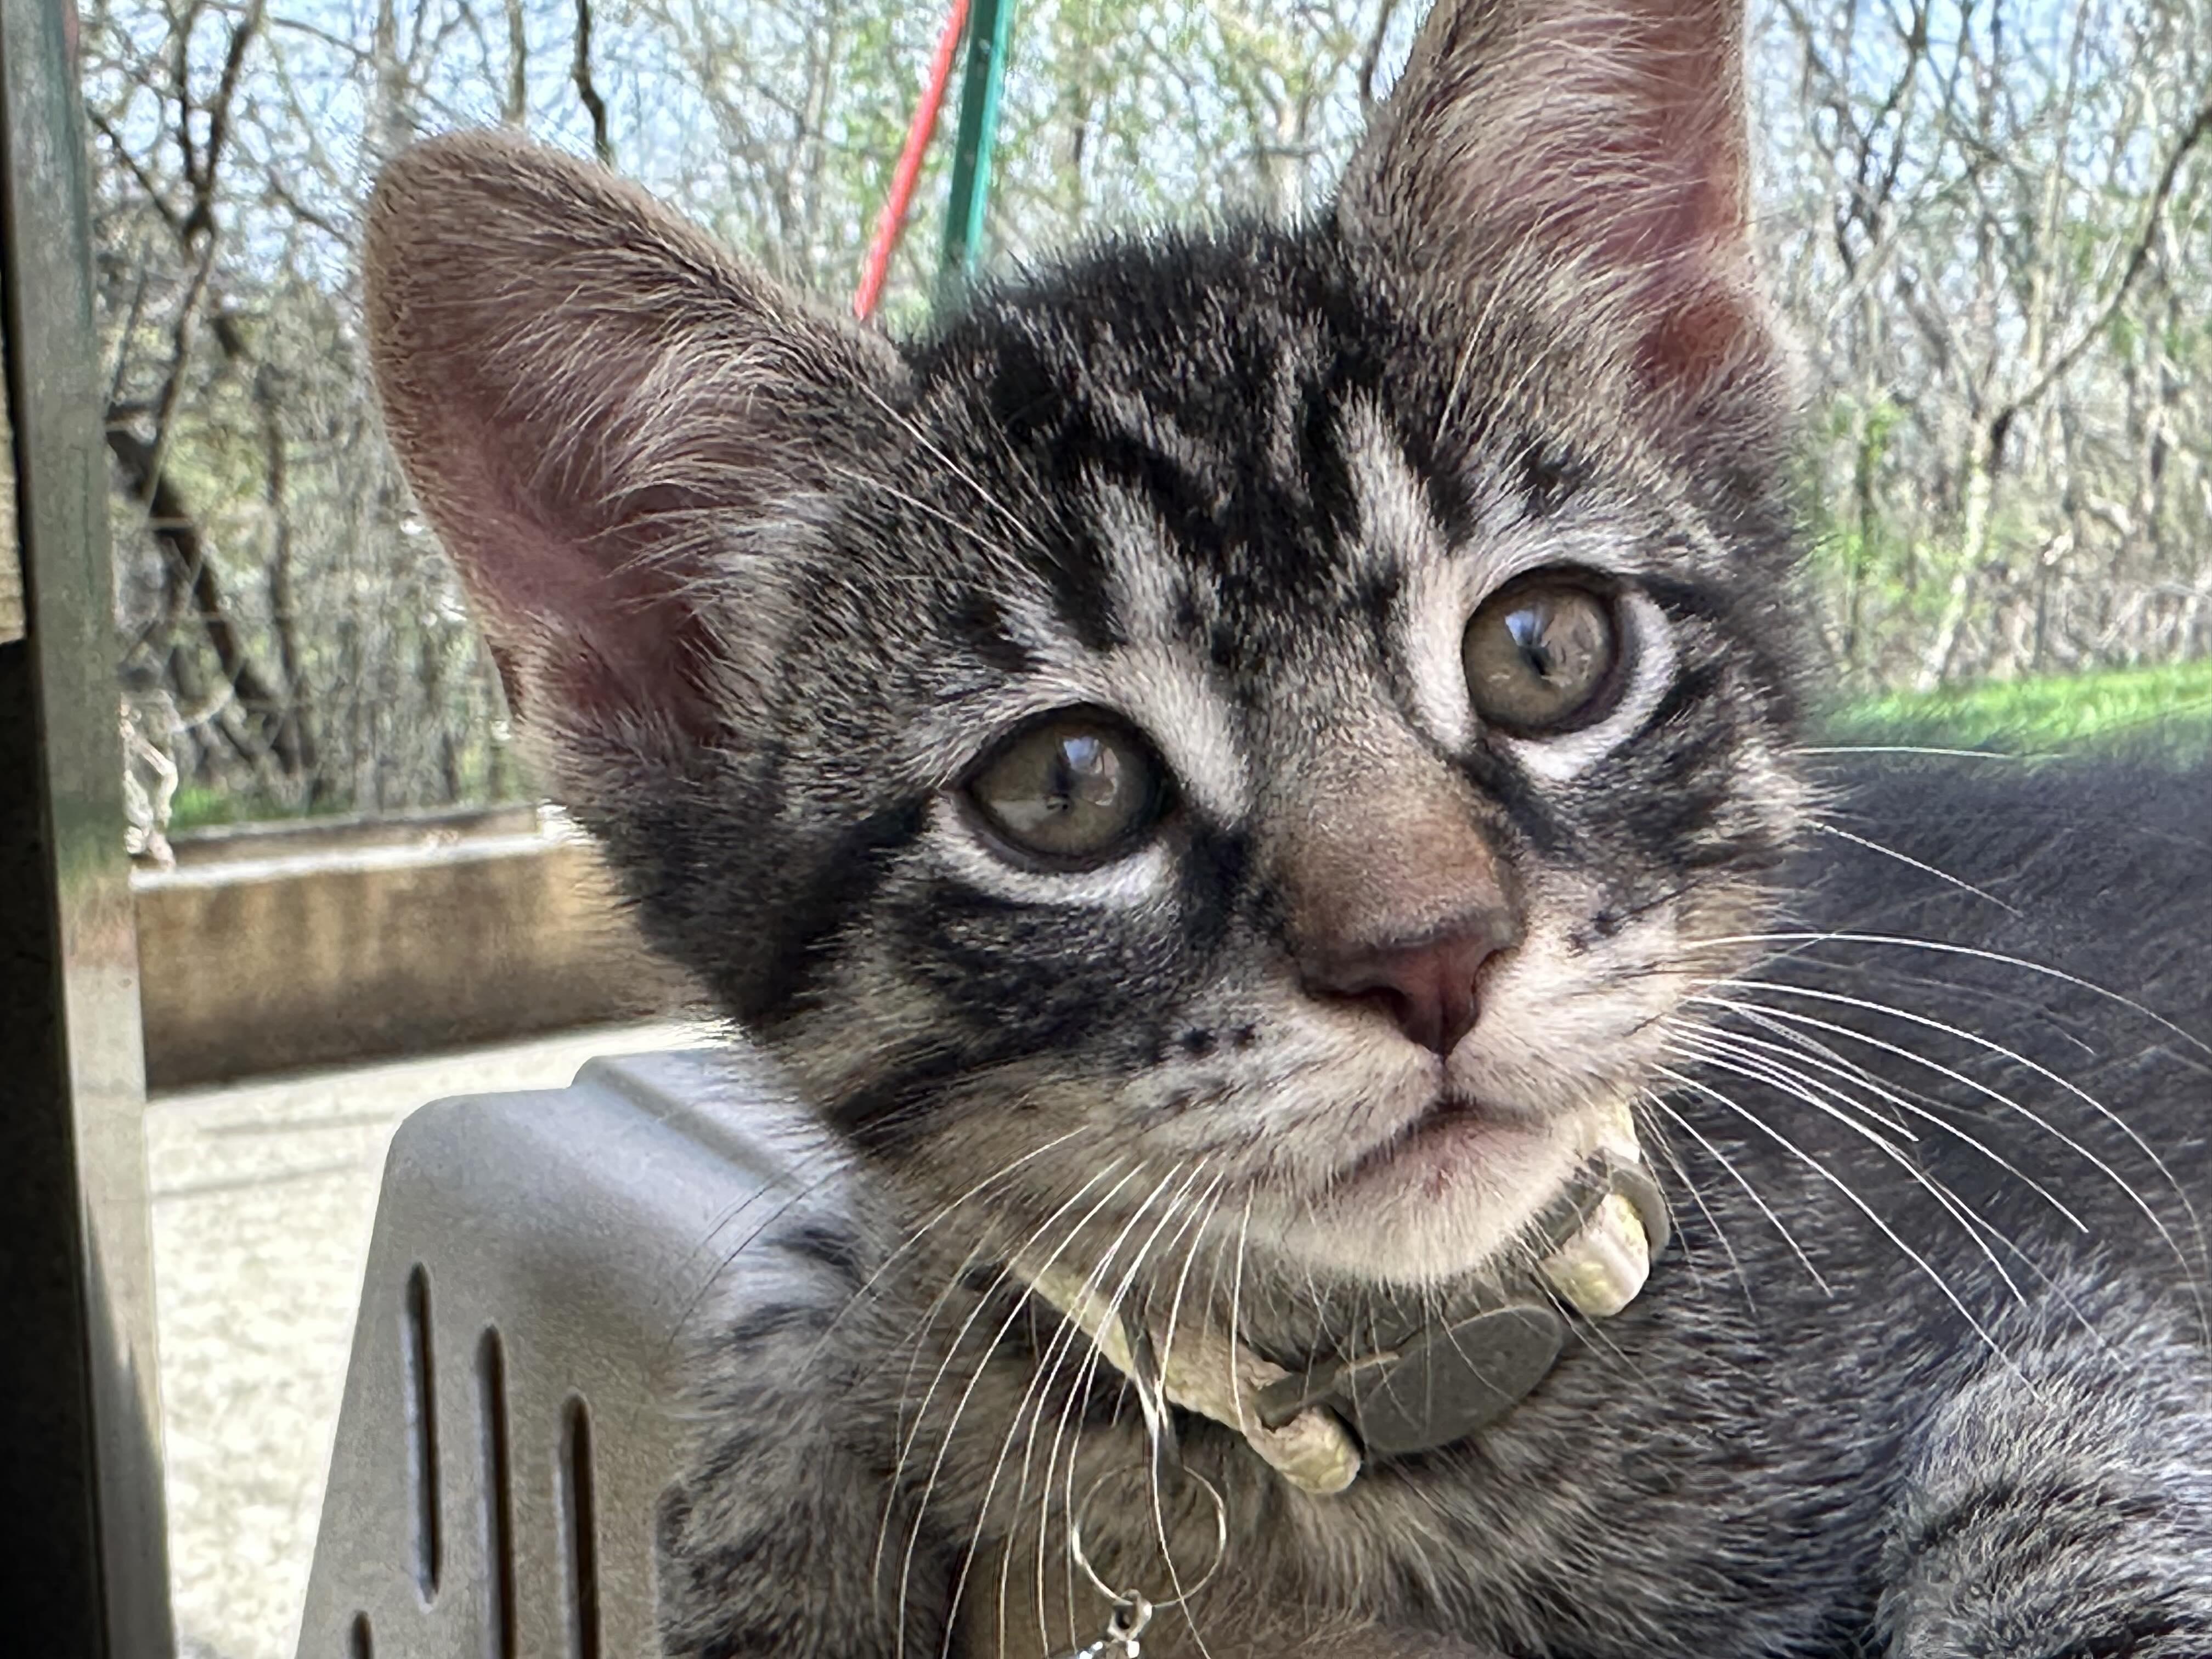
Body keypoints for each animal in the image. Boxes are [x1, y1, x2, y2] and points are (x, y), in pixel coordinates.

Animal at [360, 0, 2212, 1652]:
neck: (1360, 1422)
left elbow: (2063, 1457)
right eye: (1065, 787)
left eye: (1545, 652)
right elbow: (824, 1281)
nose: (1432, 956)